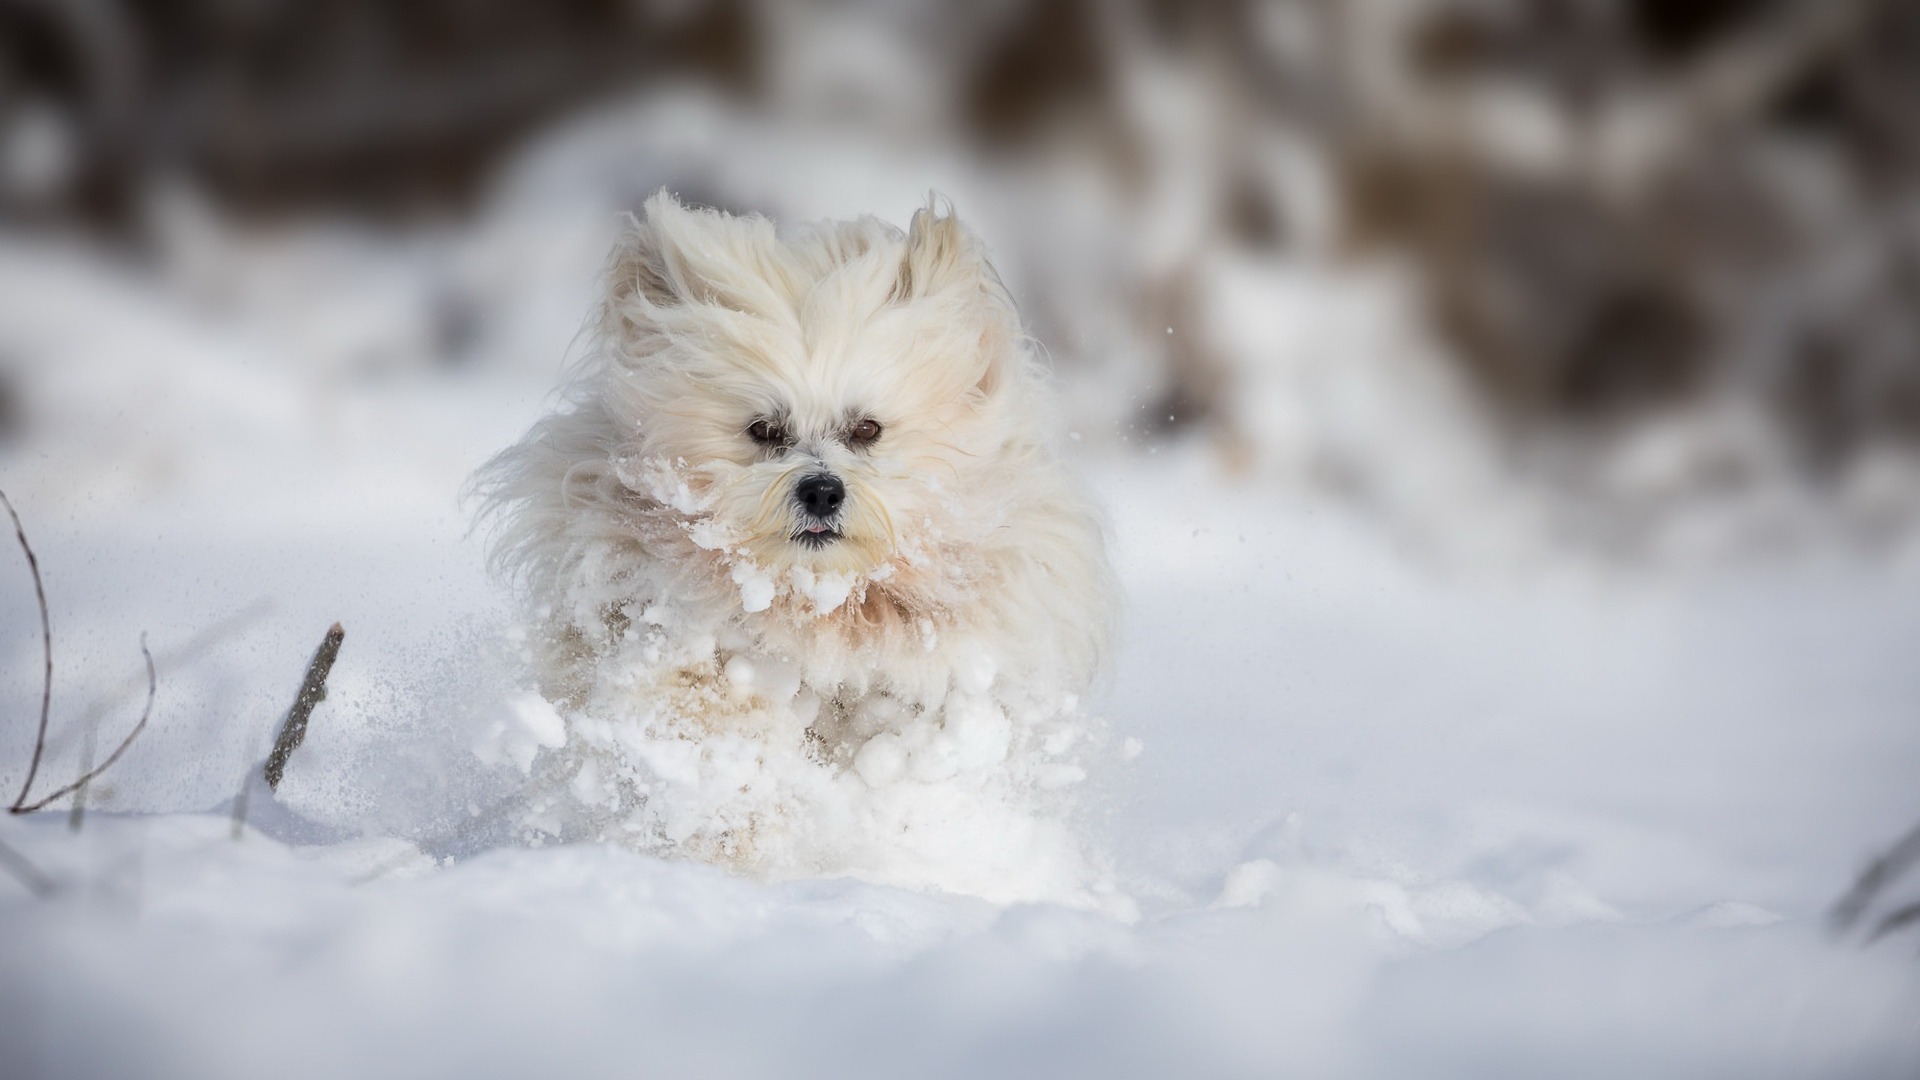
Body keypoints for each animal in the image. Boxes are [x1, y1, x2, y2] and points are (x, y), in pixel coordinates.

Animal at [470, 189, 1121, 895]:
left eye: (867, 429)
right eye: (762, 429)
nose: (821, 491)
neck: (817, 601)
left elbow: (907, 725)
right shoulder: (639, 609)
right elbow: (700, 713)